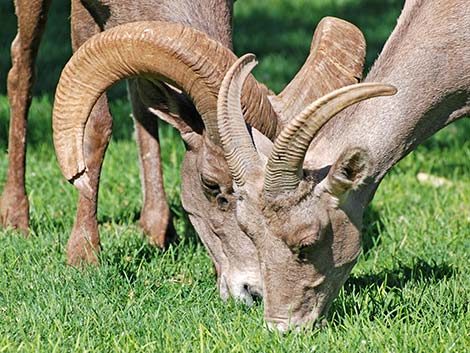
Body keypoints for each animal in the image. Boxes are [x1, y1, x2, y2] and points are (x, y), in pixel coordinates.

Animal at [6, 0, 368, 302]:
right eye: (212, 185)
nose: (253, 292)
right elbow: (97, 126)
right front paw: (84, 257)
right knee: (21, 73)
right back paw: (15, 218)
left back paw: (156, 229)